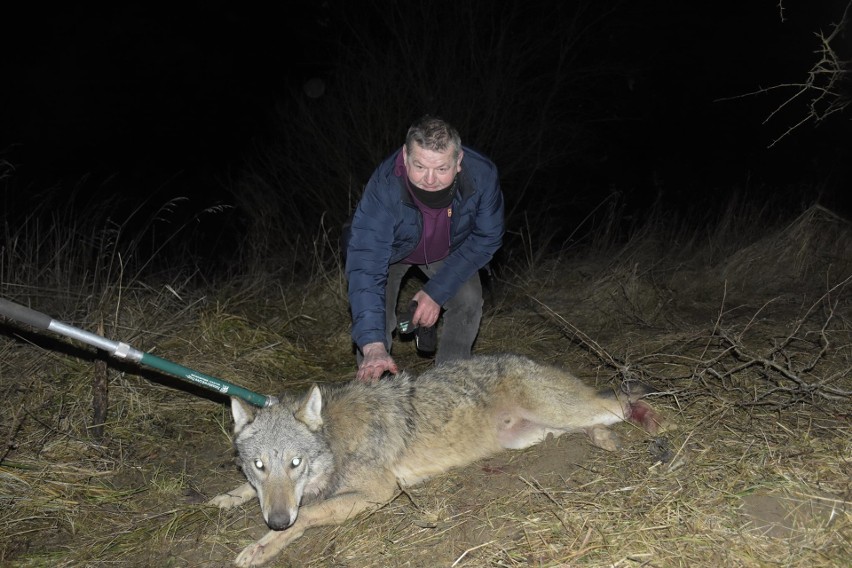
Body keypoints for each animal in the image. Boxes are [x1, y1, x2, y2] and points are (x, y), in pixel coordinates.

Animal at [210, 352, 668, 564]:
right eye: (260, 466)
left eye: (295, 464)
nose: (276, 520)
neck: (336, 441)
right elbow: (246, 492)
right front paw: (226, 500)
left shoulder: (380, 492)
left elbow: (306, 515)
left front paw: (262, 546)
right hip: (534, 434)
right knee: (599, 415)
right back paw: (603, 438)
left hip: (564, 412)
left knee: (621, 397)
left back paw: (651, 418)